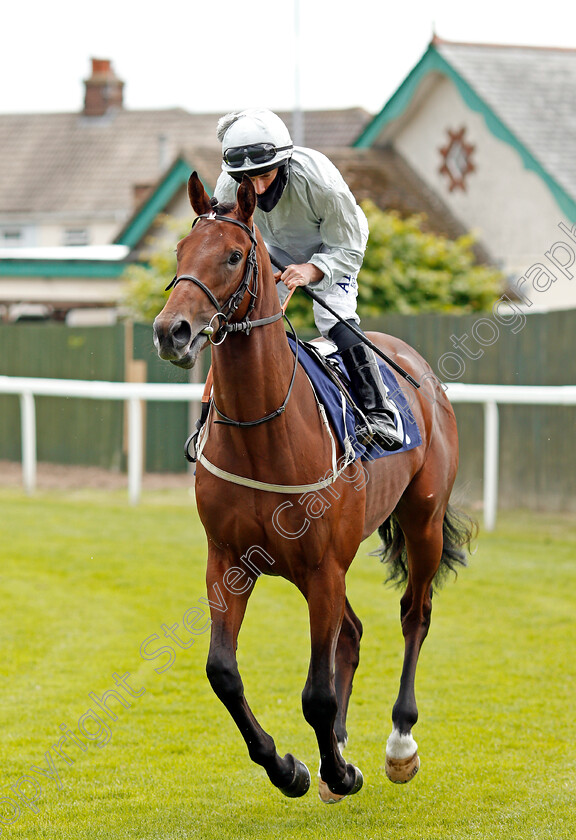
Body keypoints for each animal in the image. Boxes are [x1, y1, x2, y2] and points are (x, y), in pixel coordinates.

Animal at [153, 169, 472, 800]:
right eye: (179, 251)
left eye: (233, 255)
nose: (171, 331)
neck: (262, 431)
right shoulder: (229, 559)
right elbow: (222, 672)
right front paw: (293, 767)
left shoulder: (324, 565)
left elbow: (316, 693)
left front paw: (338, 770)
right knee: (351, 632)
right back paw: (340, 750)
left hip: (420, 520)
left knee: (414, 613)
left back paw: (399, 745)